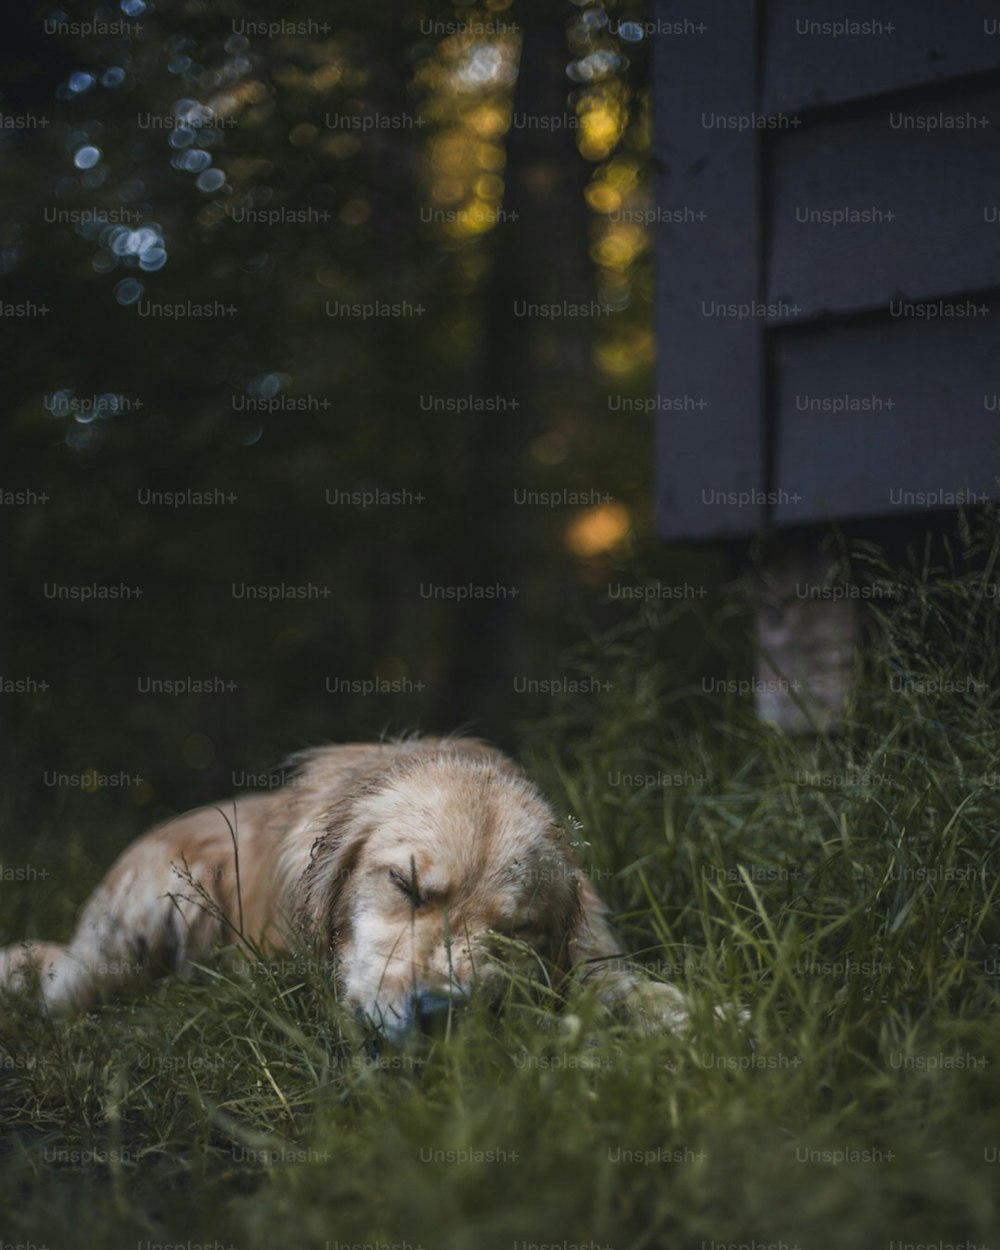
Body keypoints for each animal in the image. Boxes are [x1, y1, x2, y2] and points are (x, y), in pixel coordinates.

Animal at [1, 735, 705, 1040]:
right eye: (403, 883)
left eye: (517, 930)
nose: (436, 1014)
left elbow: (616, 983)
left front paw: (683, 1013)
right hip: (161, 892)